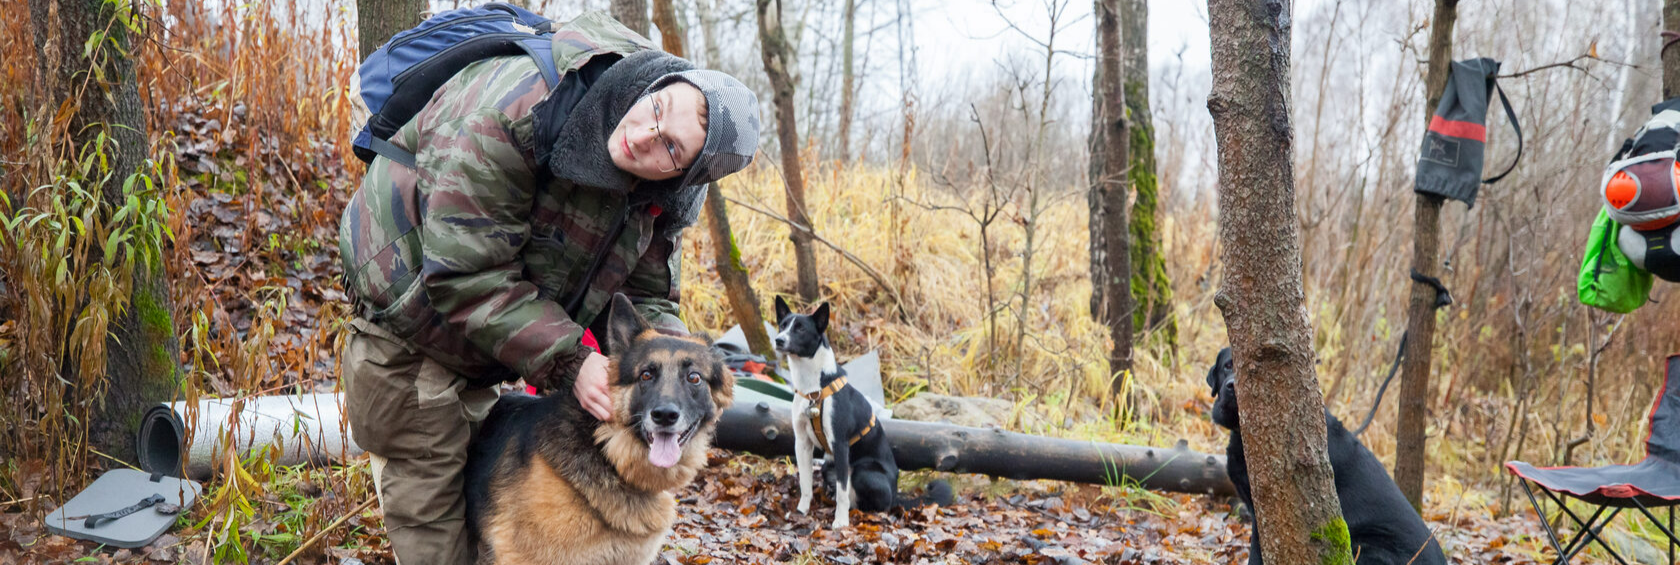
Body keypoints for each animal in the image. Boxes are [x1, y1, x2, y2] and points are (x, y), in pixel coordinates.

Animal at [769, 295, 954, 531]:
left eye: (800, 329)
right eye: (783, 326)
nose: (778, 340)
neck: (814, 387)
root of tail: (896, 494)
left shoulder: (840, 445)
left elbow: (842, 490)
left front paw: (840, 521)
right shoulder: (802, 442)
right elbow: (805, 482)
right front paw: (801, 511)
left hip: (862, 471)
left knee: (873, 502)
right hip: (828, 466)